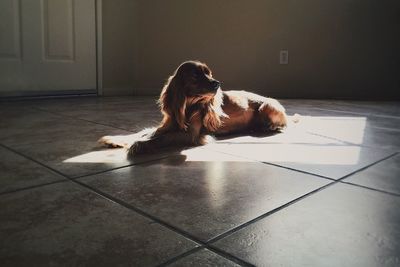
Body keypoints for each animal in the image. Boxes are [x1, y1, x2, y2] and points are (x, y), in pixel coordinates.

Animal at [99, 61, 288, 156]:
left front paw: (140, 144)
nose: (217, 83)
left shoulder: (190, 134)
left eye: (210, 74)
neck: (188, 106)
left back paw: (268, 126)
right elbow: (145, 132)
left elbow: (161, 138)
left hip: (266, 106)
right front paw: (116, 139)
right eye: (196, 75)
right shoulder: (168, 124)